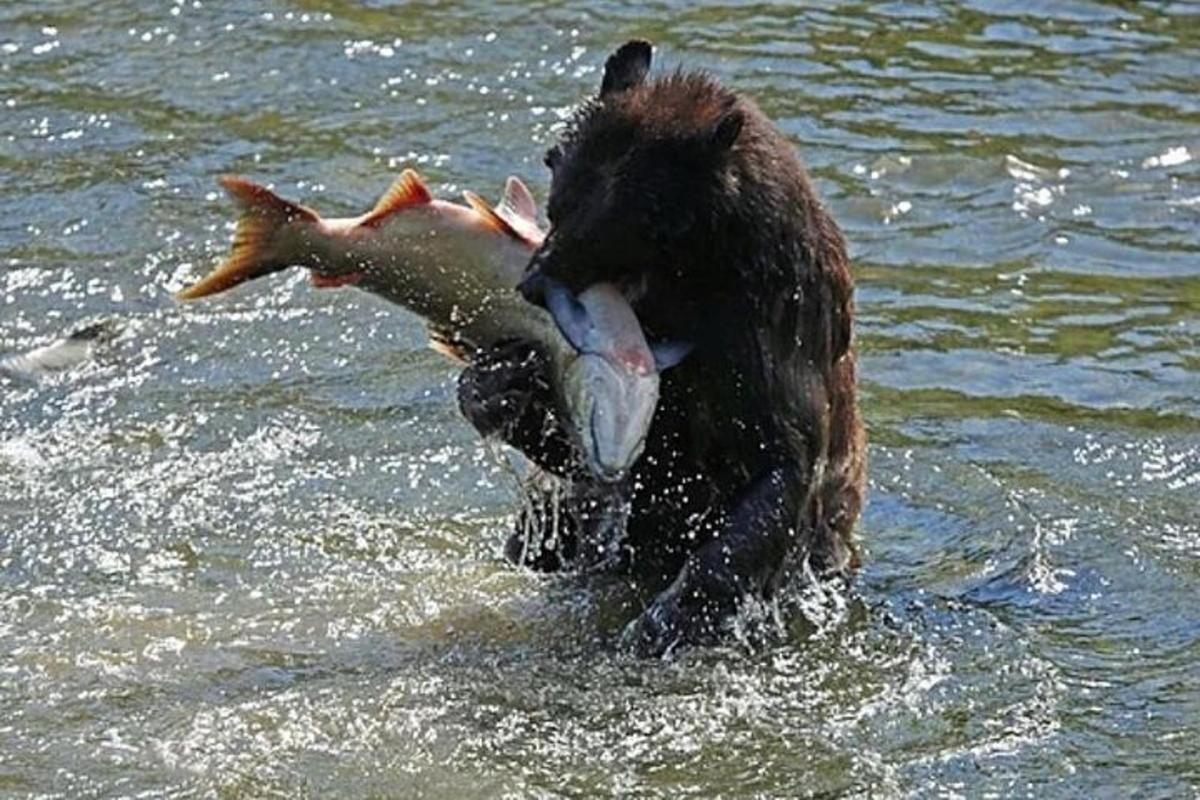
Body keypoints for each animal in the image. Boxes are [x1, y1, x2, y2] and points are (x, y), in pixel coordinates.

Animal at [456, 38, 864, 657]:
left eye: (626, 214)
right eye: (557, 180)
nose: (531, 282)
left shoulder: (771, 335)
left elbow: (778, 470)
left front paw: (664, 621)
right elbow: (593, 454)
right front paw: (497, 381)